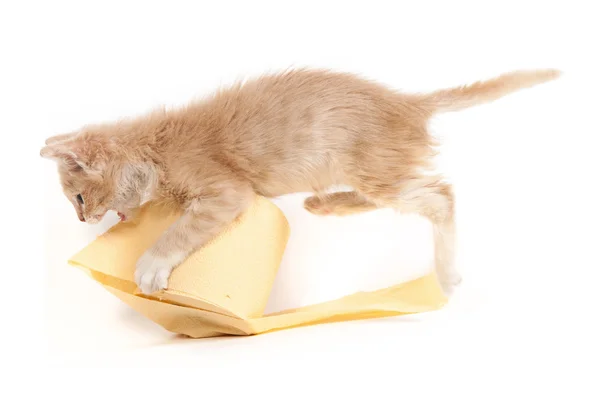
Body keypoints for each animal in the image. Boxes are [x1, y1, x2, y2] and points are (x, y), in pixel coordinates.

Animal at [39, 68, 560, 296]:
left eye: (78, 197)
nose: (83, 220)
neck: (157, 149)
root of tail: (409, 103)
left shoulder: (224, 191)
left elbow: (179, 231)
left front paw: (151, 264)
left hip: (374, 169)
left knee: (442, 196)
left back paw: (448, 275)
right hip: (368, 171)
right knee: (406, 195)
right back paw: (324, 206)